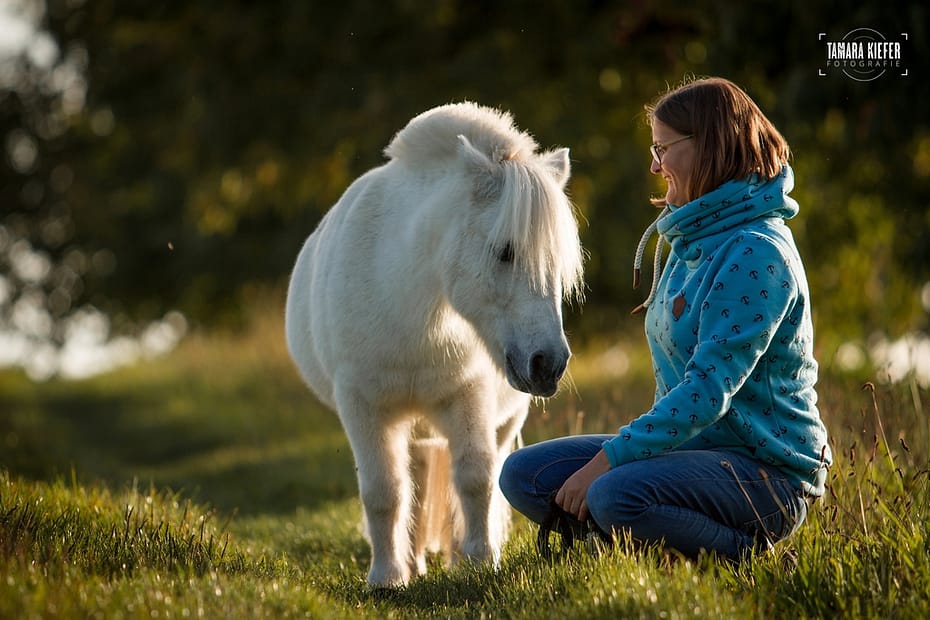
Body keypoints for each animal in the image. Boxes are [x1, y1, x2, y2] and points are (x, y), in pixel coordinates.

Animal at [286, 101, 584, 588]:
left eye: (557, 261)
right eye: (505, 251)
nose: (548, 363)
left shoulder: (468, 398)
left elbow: (476, 479)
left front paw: (480, 562)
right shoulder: (363, 409)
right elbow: (384, 491)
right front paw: (386, 578)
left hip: (497, 420)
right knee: (415, 483)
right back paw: (411, 565)